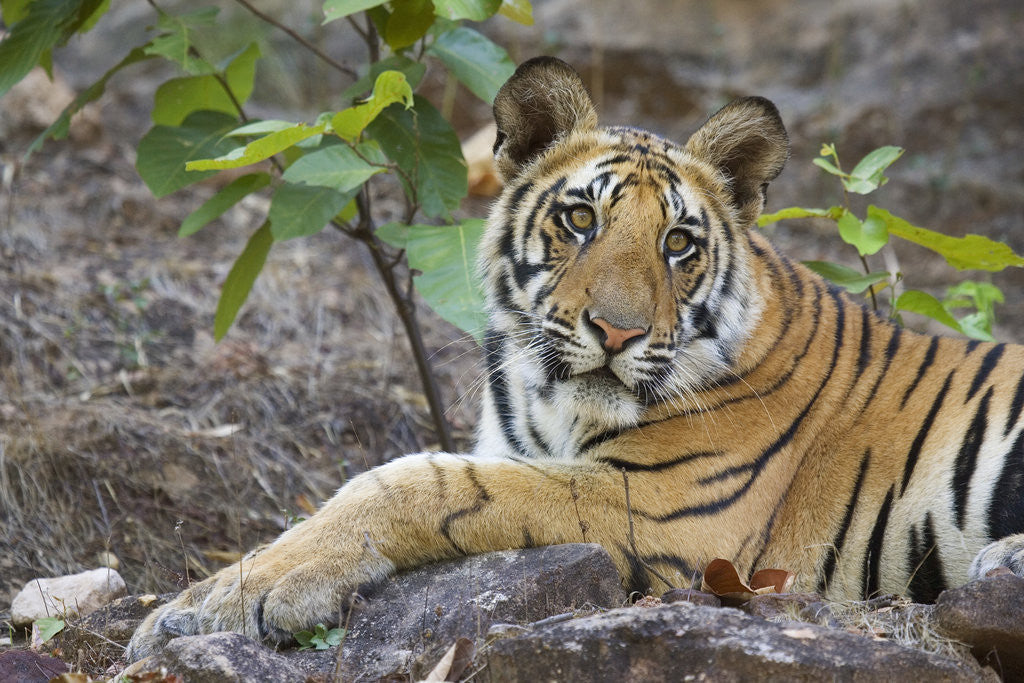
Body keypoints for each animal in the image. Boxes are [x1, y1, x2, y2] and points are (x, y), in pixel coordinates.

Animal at [127, 56, 1024, 660]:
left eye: (678, 242)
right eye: (581, 220)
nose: (617, 332)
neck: (546, 396)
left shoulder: (664, 509)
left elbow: (419, 481)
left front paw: (245, 593)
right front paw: (201, 598)